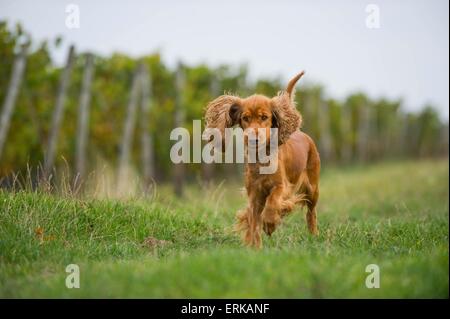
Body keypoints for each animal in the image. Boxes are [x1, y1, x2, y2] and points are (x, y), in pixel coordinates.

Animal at [205, 71, 320, 249]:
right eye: (245, 118)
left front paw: (270, 223)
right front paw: (255, 247)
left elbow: (273, 202)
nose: (252, 138)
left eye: (264, 117)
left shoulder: (282, 186)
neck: (261, 158)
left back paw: (313, 233)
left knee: (311, 212)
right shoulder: (254, 194)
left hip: (313, 189)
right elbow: (253, 222)